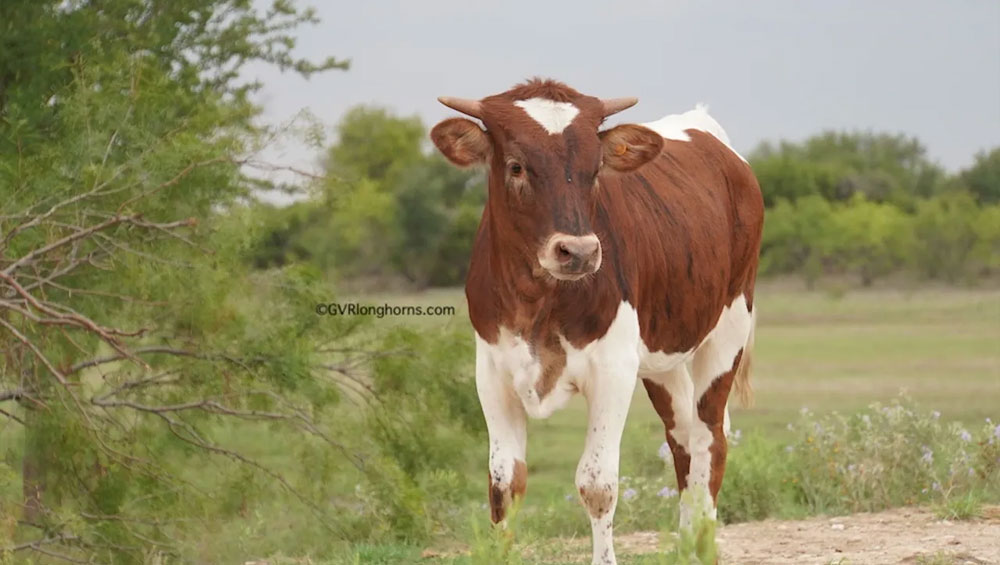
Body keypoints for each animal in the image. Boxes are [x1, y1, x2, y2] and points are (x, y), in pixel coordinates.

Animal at [426, 77, 760, 560]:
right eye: (516, 166)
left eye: (595, 169)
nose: (580, 252)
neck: (538, 298)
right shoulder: (491, 371)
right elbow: (504, 485)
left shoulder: (612, 370)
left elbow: (597, 484)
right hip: (664, 355)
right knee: (682, 436)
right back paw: (685, 545)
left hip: (729, 328)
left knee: (709, 437)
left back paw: (703, 547)